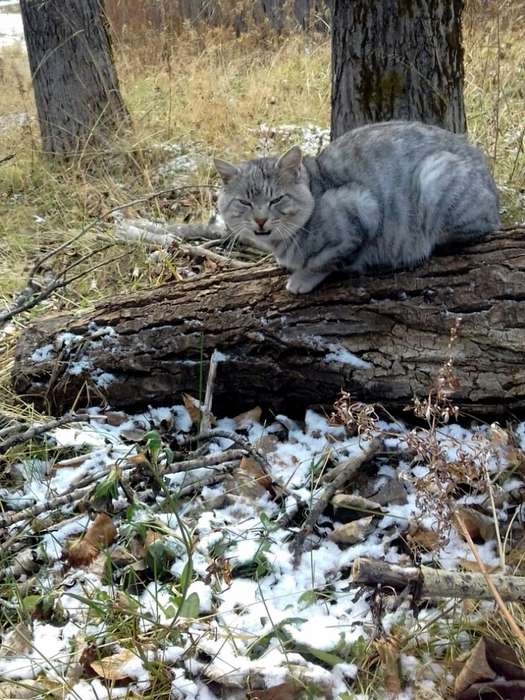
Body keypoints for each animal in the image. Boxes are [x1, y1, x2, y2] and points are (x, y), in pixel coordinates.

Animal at [214, 120, 500, 292]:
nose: (260, 220)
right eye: (245, 202)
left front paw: (302, 277)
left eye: (276, 199)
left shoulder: (361, 208)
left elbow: (326, 261)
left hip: (435, 175)